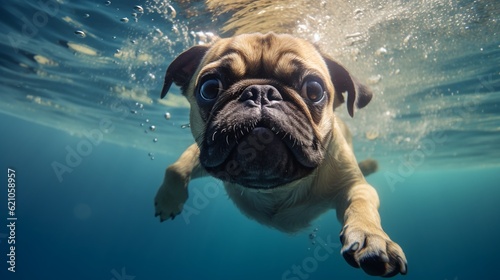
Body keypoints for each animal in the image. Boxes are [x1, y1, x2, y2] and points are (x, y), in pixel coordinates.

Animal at [154, 31, 408, 276]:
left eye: (314, 90)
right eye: (209, 88)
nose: (260, 92)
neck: (276, 187)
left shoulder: (354, 184)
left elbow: (362, 205)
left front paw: (371, 237)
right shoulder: (205, 154)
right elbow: (175, 169)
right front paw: (169, 200)